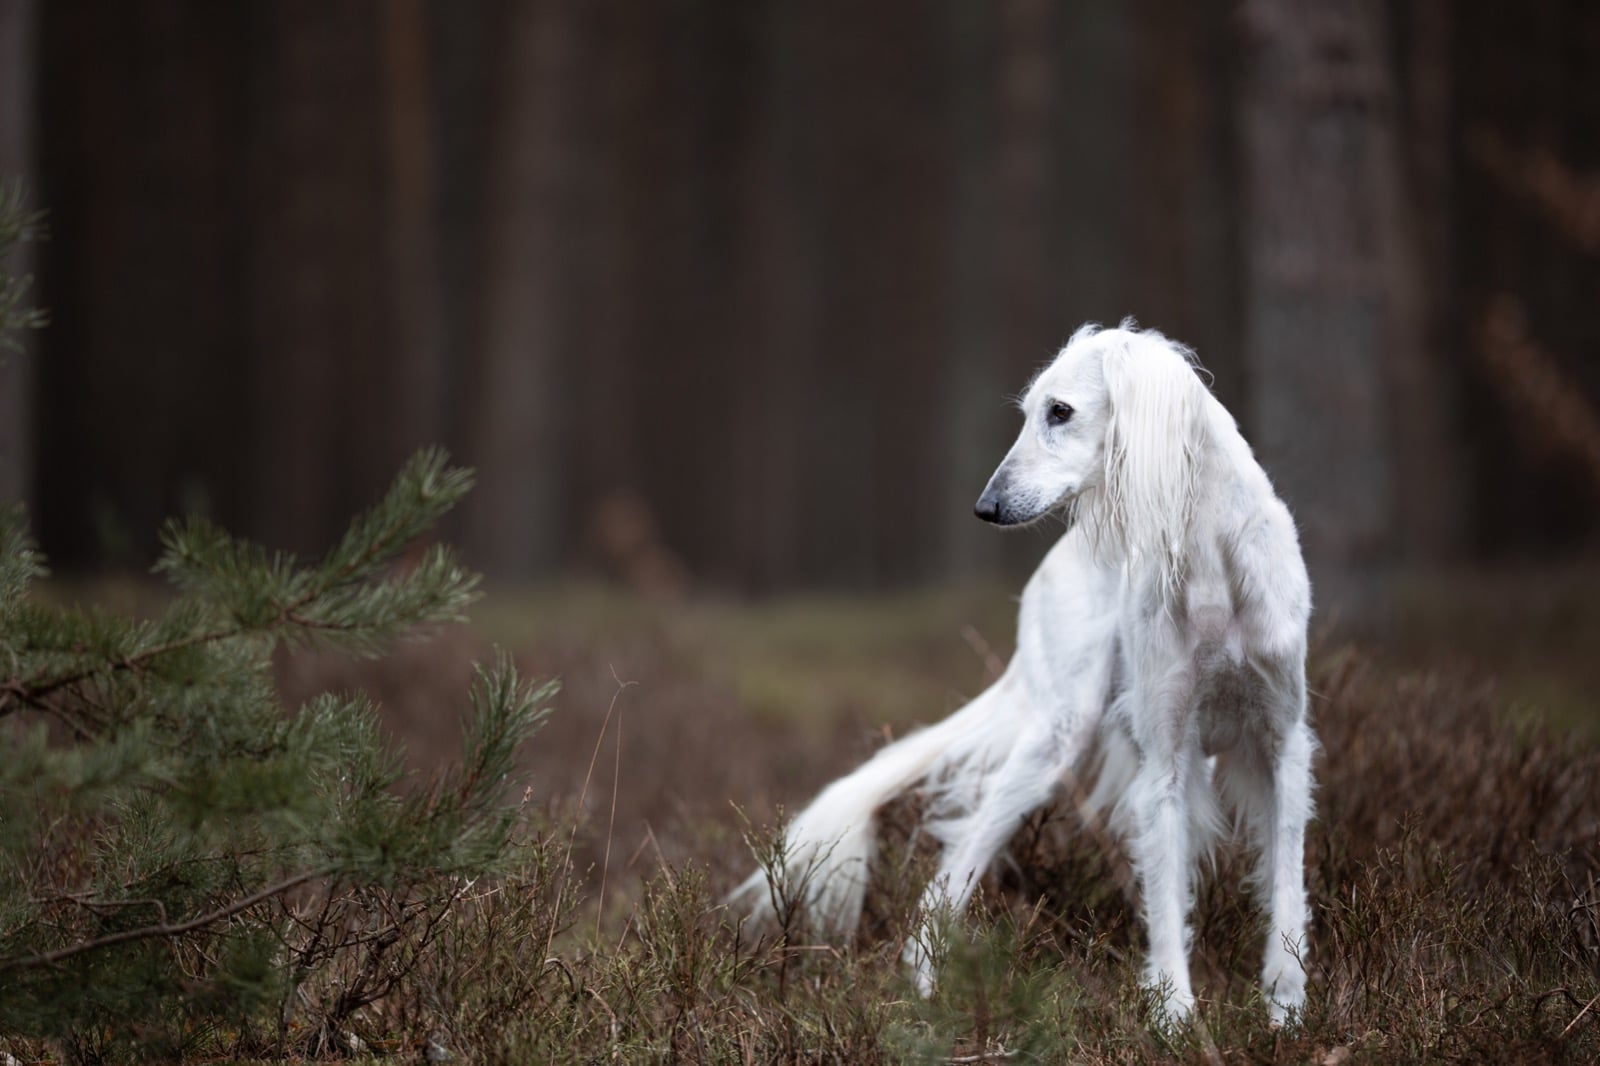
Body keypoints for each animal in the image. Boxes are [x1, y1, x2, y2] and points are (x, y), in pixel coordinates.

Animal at [732, 321, 1312, 1024]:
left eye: (1059, 411)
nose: (985, 507)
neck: (1212, 566)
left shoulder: (1282, 744)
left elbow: (1286, 889)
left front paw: (1286, 1011)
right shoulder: (1165, 759)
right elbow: (1170, 903)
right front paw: (1175, 1016)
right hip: (1055, 737)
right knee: (953, 873)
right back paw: (930, 998)